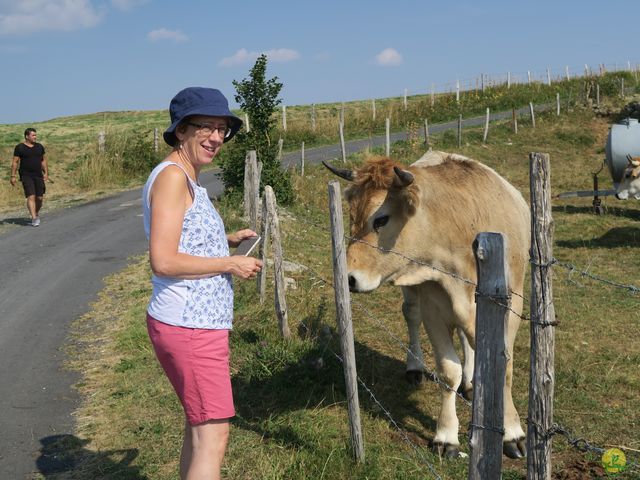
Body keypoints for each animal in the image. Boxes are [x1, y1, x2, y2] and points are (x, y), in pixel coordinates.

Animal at [324, 150, 528, 458]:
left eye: (381, 219)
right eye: (352, 216)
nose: (347, 277)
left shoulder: (512, 307)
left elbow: (504, 367)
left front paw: (513, 431)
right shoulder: (434, 308)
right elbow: (448, 371)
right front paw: (446, 435)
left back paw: (472, 382)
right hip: (412, 290)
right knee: (411, 316)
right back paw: (416, 367)